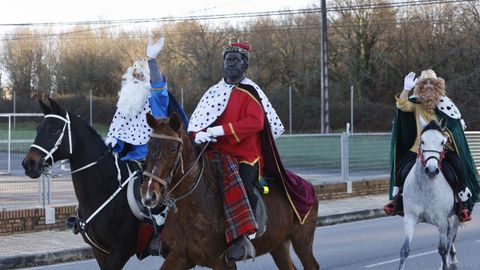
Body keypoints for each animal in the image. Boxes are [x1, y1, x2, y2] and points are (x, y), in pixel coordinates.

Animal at [139, 112, 318, 270]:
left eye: (172, 148)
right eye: (148, 145)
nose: (149, 193)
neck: (194, 206)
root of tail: (307, 185)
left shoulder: (222, 262)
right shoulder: (179, 256)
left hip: (302, 242)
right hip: (278, 245)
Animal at [398, 118, 462, 270]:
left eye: (442, 142)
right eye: (422, 141)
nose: (431, 170)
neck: (425, 187)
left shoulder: (441, 221)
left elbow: (443, 249)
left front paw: (446, 264)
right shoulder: (409, 218)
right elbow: (404, 250)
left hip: (456, 216)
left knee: (451, 237)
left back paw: (452, 261)